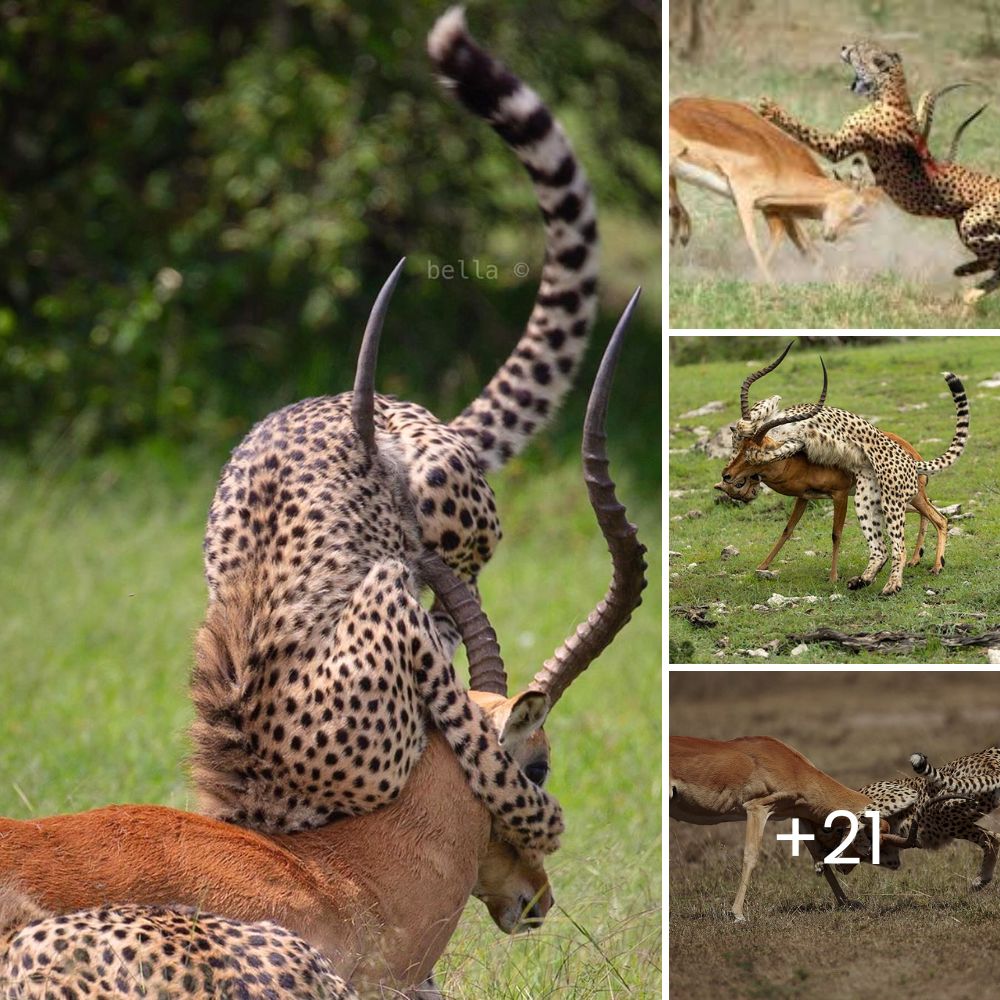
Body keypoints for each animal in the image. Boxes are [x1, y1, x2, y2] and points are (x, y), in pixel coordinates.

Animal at [736, 344, 968, 592]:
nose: (728, 475)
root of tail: (913, 459)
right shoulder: (803, 480)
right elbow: (788, 529)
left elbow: (835, 533)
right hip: (869, 499)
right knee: (887, 546)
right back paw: (866, 578)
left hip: (892, 502)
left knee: (908, 541)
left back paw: (898, 581)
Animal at [760, 39, 1000, 302]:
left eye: (857, 50)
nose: (844, 48)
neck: (889, 92)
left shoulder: (836, 148)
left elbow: (803, 129)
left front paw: (772, 109)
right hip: (964, 222)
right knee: (995, 264)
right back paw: (967, 281)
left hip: (971, 221)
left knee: (996, 258)